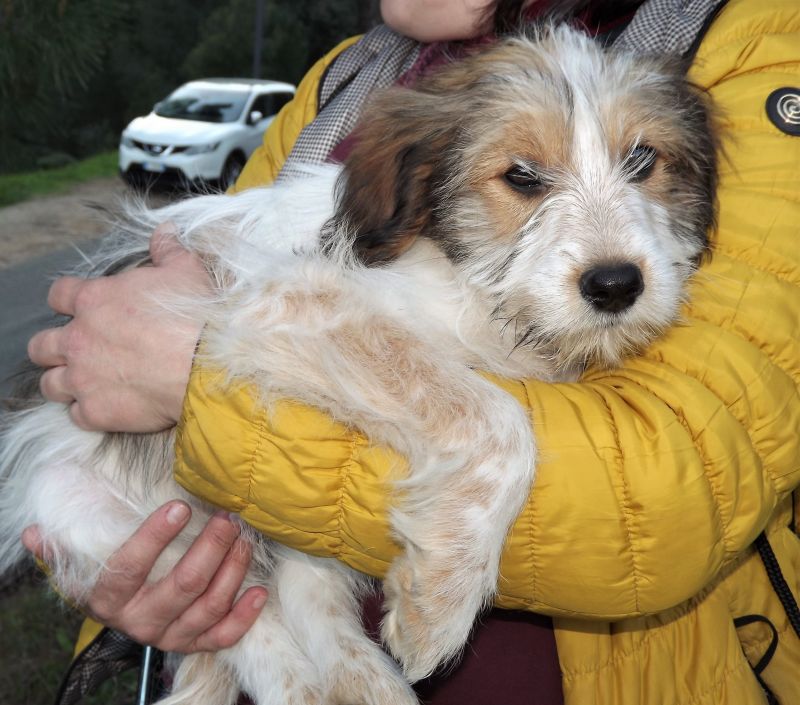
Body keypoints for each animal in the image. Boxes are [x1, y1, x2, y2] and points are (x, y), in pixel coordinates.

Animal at [0, 24, 712, 704]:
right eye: (521, 176)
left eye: (642, 160)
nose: (617, 286)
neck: (468, 283)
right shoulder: (288, 305)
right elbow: (497, 416)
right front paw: (442, 605)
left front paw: (433, 591)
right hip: (116, 525)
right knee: (241, 624)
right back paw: (303, 687)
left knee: (300, 599)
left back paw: (368, 684)